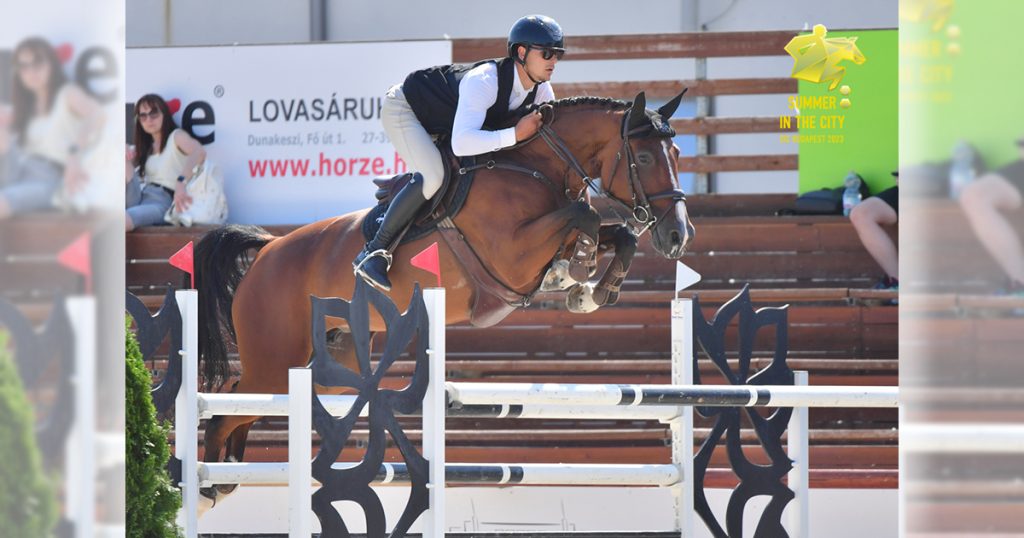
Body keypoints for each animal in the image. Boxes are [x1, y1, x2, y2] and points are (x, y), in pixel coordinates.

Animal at [192, 90, 696, 506]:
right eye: (645, 155)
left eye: (676, 153)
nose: (678, 236)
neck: (538, 168)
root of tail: (268, 249)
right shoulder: (512, 256)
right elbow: (583, 215)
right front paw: (578, 275)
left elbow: (618, 233)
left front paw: (593, 291)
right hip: (276, 357)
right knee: (225, 409)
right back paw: (206, 486)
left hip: (330, 365)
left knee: (246, 405)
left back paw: (226, 475)